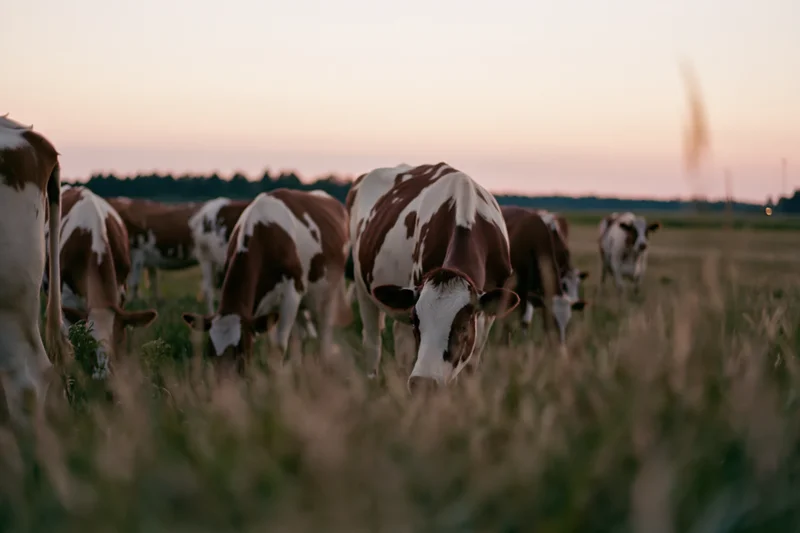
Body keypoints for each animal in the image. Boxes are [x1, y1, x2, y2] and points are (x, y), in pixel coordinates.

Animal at [181, 188, 353, 374]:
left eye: (241, 349)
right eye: (211, 353)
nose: (225, 381)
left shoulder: (291, 293)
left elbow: (279, 346)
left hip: (327, 292)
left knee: (324, 329)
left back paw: (323, 363)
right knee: (301, 333)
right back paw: (298, 365)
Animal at [347, 162, 520, 390]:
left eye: (462, 326)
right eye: (416, 322)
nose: (423, 383)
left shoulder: (487, 313)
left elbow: (470, 365)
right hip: (362, 286)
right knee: (373, 343)